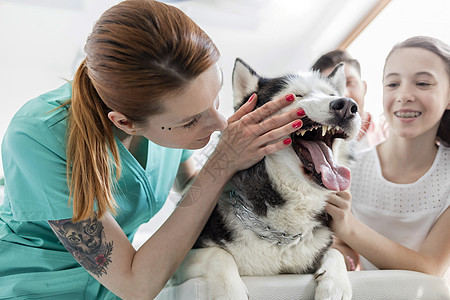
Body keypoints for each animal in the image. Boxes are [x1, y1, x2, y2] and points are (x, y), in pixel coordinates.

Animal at [171, 58, 360, 300]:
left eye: (330, 94)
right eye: (296, 95)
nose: (346, 105)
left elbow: (334, 251)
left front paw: (336, 285)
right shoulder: (180, 263)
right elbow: (218, 254)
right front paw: (229, 291)